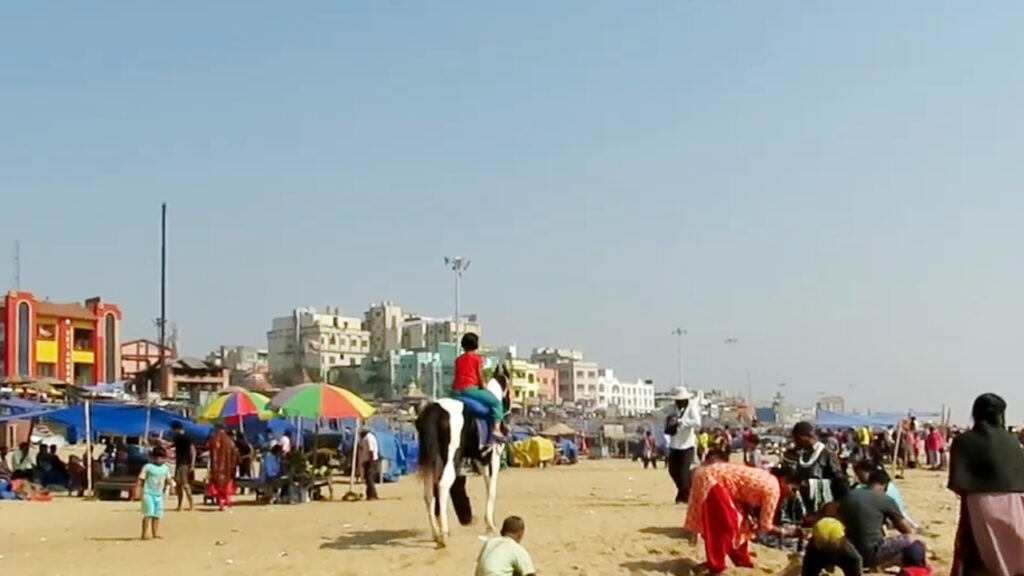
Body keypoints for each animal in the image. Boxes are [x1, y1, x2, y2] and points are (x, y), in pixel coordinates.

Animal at [413, 364, 509, 545]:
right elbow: (492, 489)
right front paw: (491, 525)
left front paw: (489, 522)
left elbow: (487, 486)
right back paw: (443, 534)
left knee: (429, 494)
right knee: (443, 485)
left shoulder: (480, 460)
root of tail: (435, 410)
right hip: (451, 456)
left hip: (430, 460)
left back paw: (436, 533)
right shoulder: (494, 457)